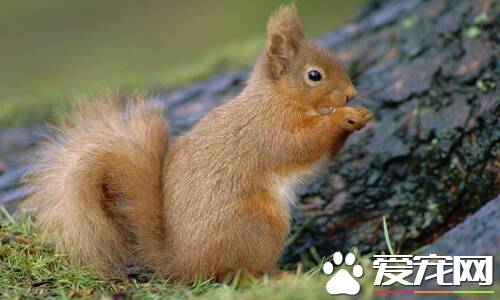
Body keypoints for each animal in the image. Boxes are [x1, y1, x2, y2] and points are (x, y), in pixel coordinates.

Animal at [22, 5, 372, 282]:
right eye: (314, 75)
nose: (350, 95)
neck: (278, 99)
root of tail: (183, 263)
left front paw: (361, 115)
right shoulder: (269, 131)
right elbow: (301, 144)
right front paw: (342, 117)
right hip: (258, 222)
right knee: (236, 275)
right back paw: (279, 277)